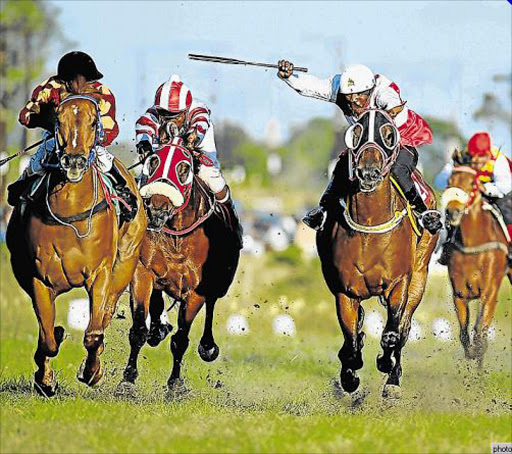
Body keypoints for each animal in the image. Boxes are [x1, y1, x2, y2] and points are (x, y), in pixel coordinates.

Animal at [6, 88, 146, 394]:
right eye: (58, 120)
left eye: (94, 122)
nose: (74, 161)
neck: (69, 212)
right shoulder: (39, 279)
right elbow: (48, 338)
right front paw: (45, 379)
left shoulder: (100, 274)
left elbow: (93, 334)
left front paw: (92, 372)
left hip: (125, 265)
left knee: (105, 315)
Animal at [116, 139, 240, 398]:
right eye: (153, 161)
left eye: (184, 168)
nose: (157, 209)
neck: (177, 238)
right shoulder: (143, 273)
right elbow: (138, 329)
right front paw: (128, 380)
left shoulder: (196, 292)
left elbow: (181, 340)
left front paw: (175, 385)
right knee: (156, 304)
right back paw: (158, 329)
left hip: (217, 284)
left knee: (211, 306)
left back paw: (207, 346)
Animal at [318, 109, 438, 398]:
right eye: (356, 132)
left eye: (388, 134)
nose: (368, 172)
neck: (370, 225)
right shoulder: (345, 292)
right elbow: (351, 340)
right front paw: (350, 375)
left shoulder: (400, 283)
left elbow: (392, 333)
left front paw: (386, 363)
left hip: (420, 275)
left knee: (403, 328)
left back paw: (393, 380)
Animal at [442, 165, 510, 368]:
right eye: (449, 181)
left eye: (473, 183)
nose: (452, 212)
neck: (473, 244)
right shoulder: (459, 294)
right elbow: (464, 333)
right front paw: (471, 352)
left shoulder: (489, 292)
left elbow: (480, 330)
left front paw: (479, 352)